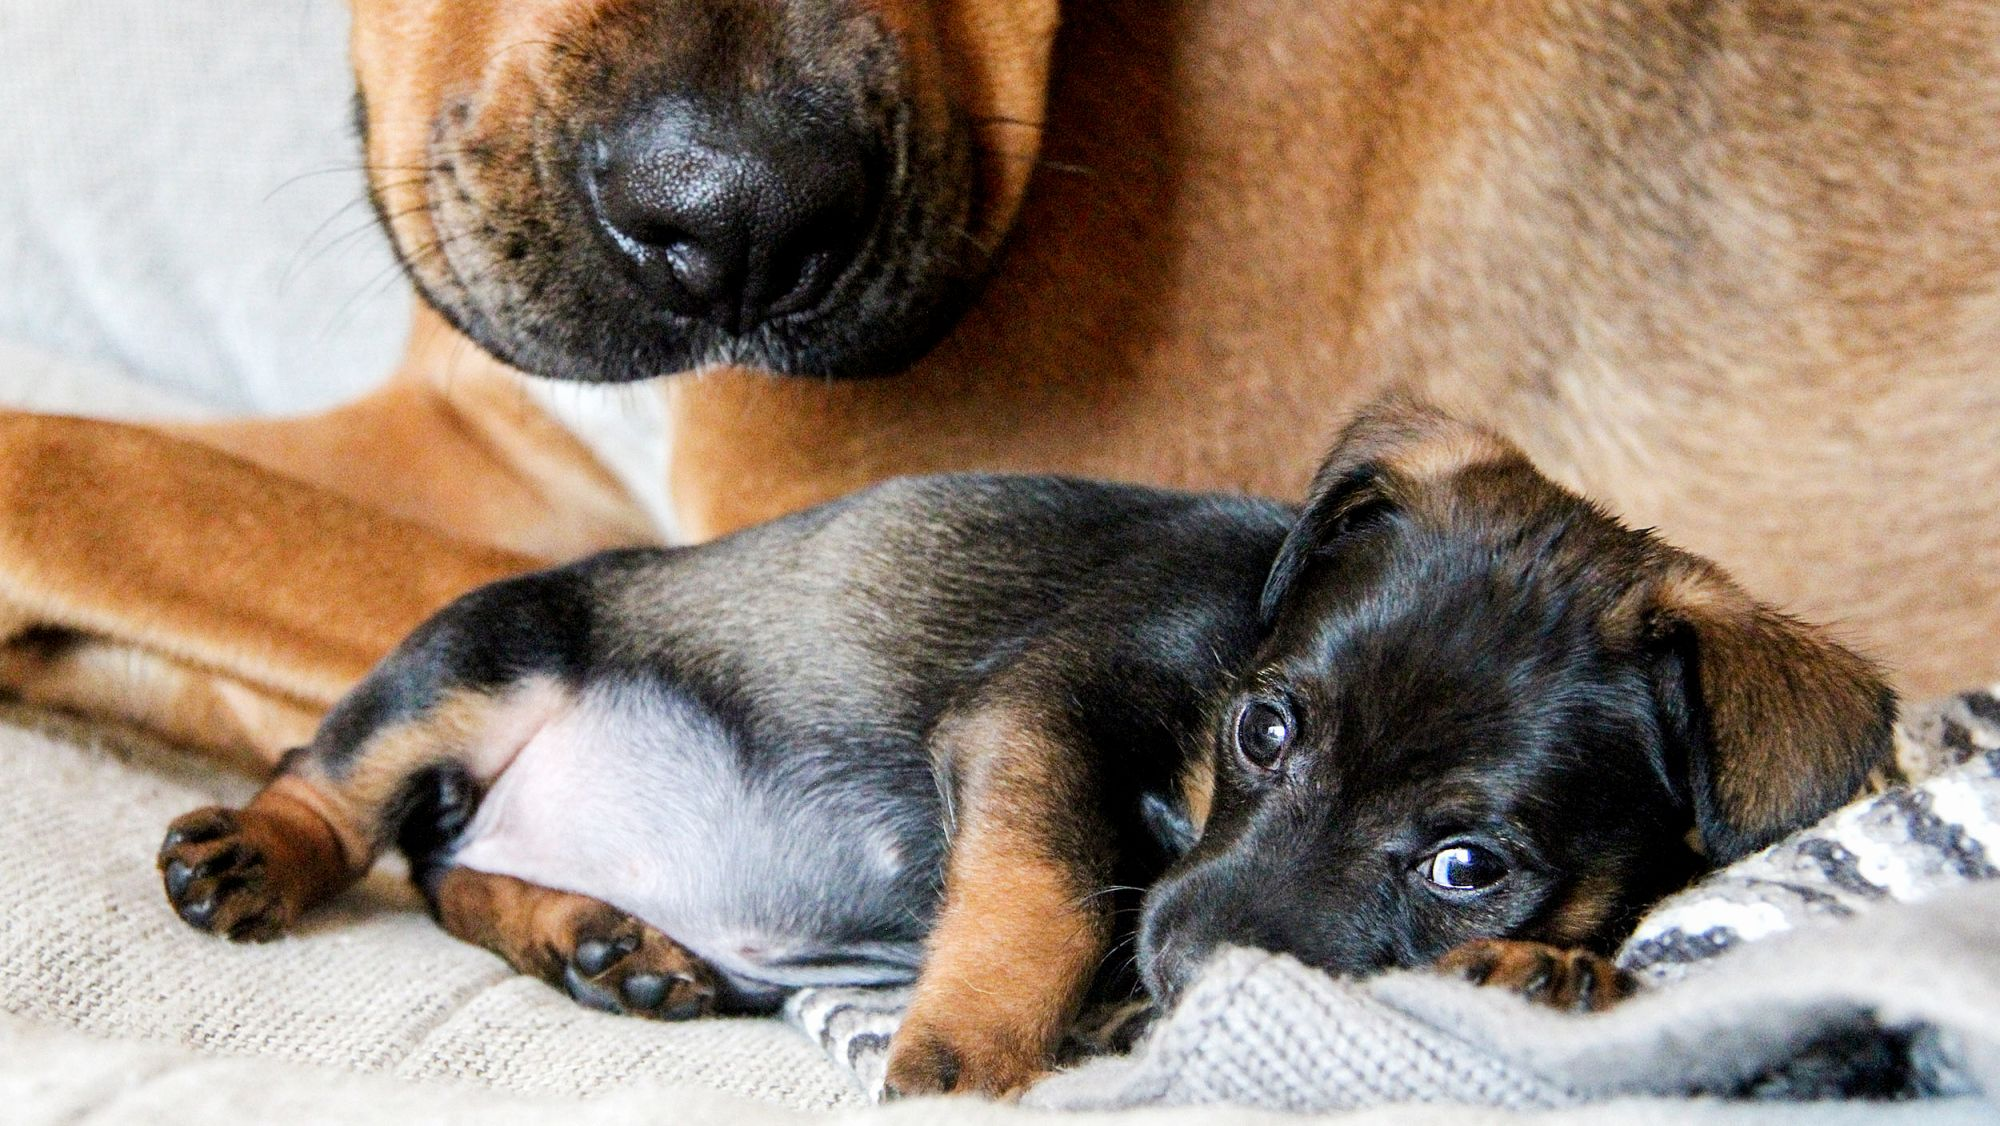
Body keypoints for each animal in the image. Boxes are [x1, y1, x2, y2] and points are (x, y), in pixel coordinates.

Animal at [156, 400, 1888, 1096]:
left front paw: (1544, 975)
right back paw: (261, 850)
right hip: (490, 651)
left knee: (454, 866)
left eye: (1471, 864)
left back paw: (598, 937)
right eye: (1263, 728)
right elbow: (1047, 889)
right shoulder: (1044, 721)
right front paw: (975, 1051)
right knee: (353, 792)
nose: (1179, 963)